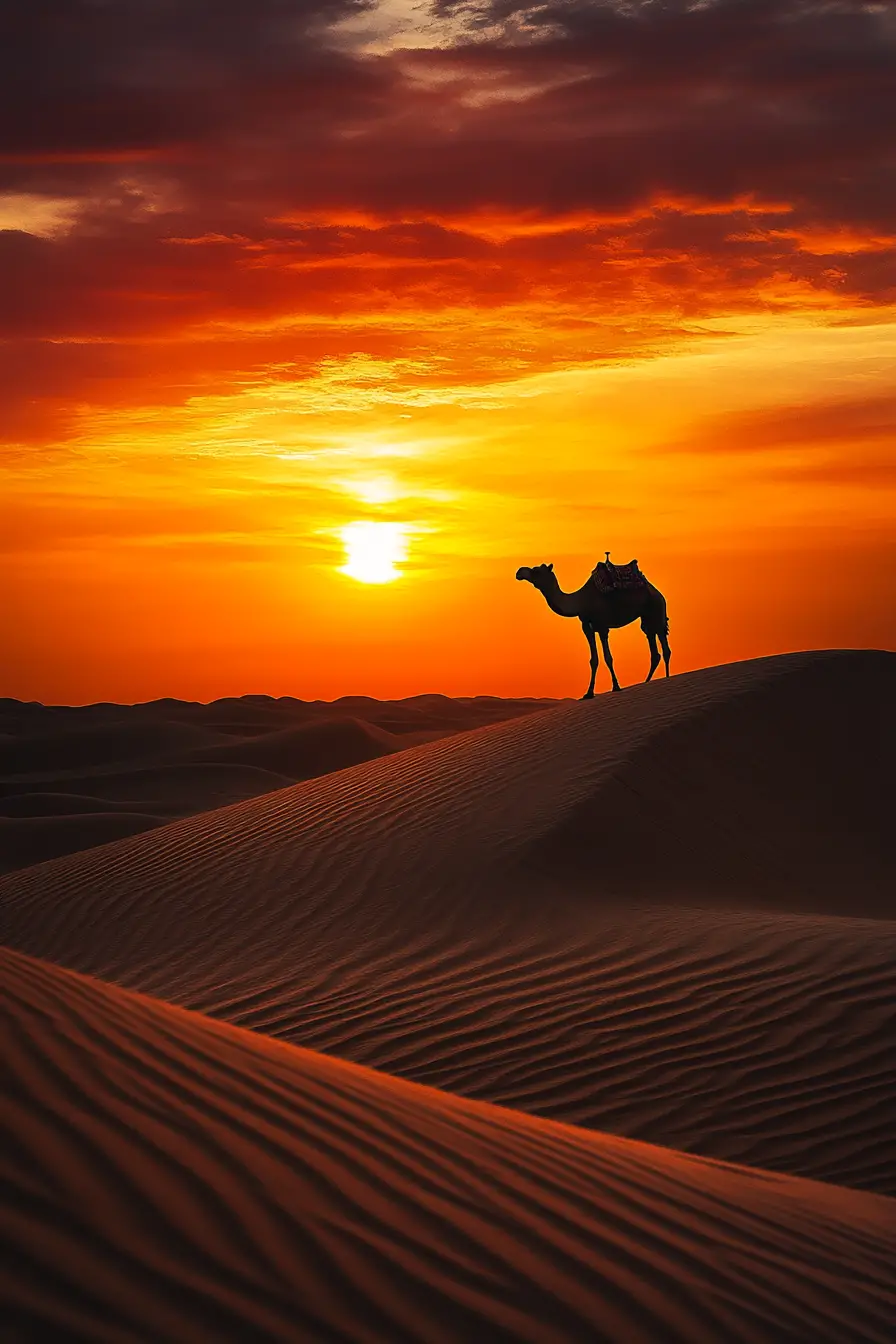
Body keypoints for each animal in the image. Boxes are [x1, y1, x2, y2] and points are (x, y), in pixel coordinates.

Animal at [516, 560, 670, 697]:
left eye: (536, 570)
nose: (519, 572)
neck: (580, 601)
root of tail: (658, 593)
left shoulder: (602, 626)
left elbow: (608, 657)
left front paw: (616, 686)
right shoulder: (586, 627)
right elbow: (593, 660)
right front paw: (589, 693)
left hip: (657, 610)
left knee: (665, 647)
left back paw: (667, 678)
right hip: (646, 618)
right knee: (654, 648)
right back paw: (647, 682)